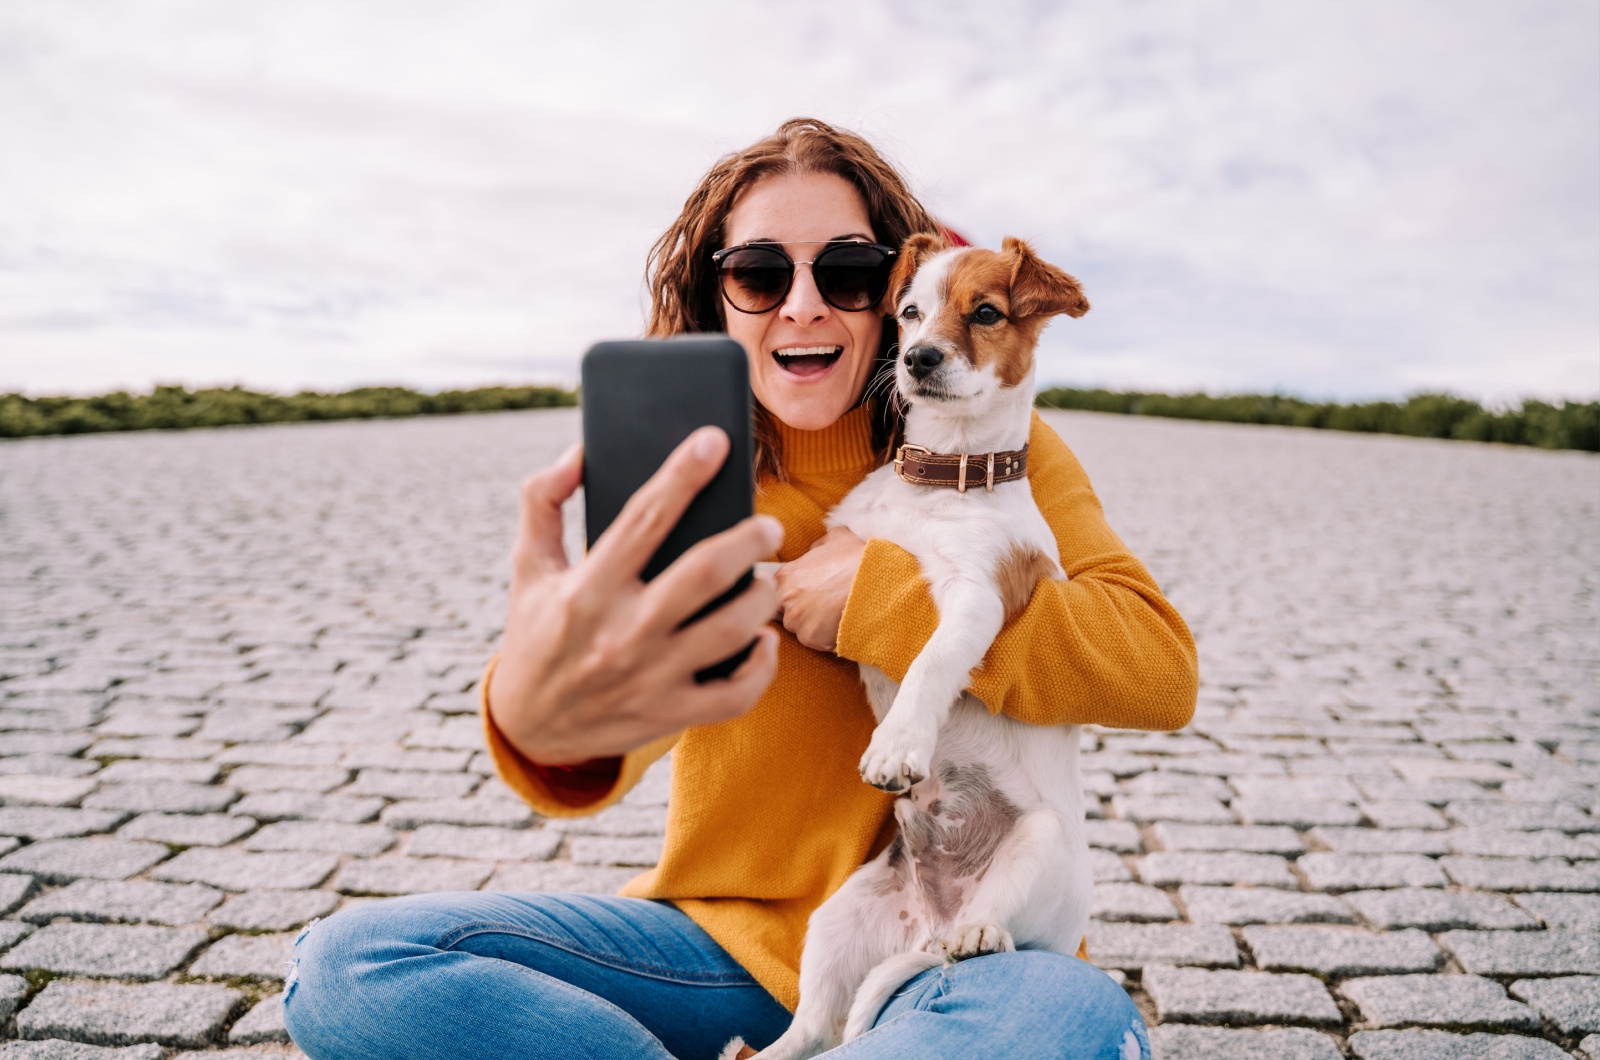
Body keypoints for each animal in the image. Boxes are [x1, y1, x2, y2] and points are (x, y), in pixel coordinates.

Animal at [729, 235, 1094, 1060]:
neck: (941, 478)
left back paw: (980, 932)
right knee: (810, 1030)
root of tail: (930, 921)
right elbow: (758, 570)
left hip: (1042, 847)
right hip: (838, 920)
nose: (920, 358)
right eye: (909, 312)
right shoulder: (820, 559)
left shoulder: (975, 599)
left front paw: (897, 746)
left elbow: (929, 663)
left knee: (995, 925)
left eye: (986, 313)